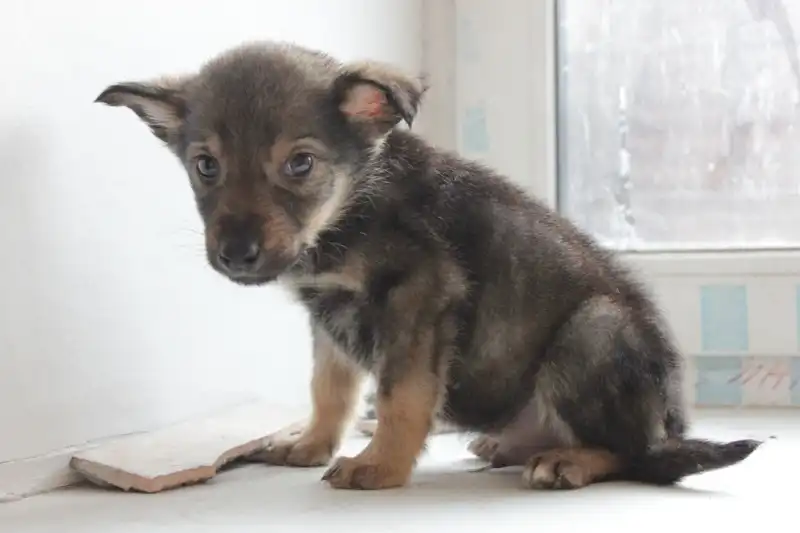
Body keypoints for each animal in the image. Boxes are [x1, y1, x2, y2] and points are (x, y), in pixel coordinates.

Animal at [95, 40, 761, 491]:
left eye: (300, 164)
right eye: (205, 166)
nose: (235, 254)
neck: (350, 212)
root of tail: (671, 424)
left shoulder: (420, 297)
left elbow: (400, 395)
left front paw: (380, 466)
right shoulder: (328, 315)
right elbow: (329, 390)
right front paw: (312, 444)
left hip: (595, 328)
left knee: (637, 454)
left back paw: (568, 459)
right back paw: (512, 445)